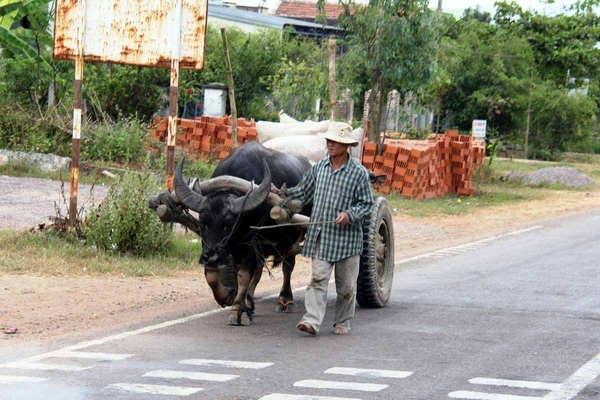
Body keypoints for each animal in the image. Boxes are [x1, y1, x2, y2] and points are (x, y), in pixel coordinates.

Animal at [159, 141, 310, 324]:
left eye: (229, 224)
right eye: (202, 222)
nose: (211, 257)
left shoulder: (253, 242)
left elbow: (244, 275)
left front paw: (238, 310)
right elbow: (211, 275)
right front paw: (227, 297)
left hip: (292, 240)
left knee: (287, 267)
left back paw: (285, 300)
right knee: (259, 272)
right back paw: (250, 302)